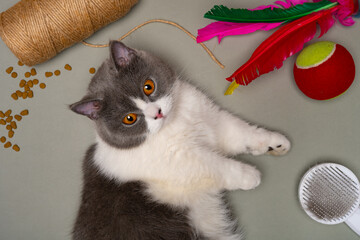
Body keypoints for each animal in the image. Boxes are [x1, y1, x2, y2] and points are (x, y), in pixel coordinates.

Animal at [71, 41, 292, 240]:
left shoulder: (212, 119)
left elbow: (238, 132)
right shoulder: (179, 161)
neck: (177, 122)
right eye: (129, 119)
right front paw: (249, 175)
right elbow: (214, 164)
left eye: (148, 87)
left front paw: (275, 142)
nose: (157, 113)